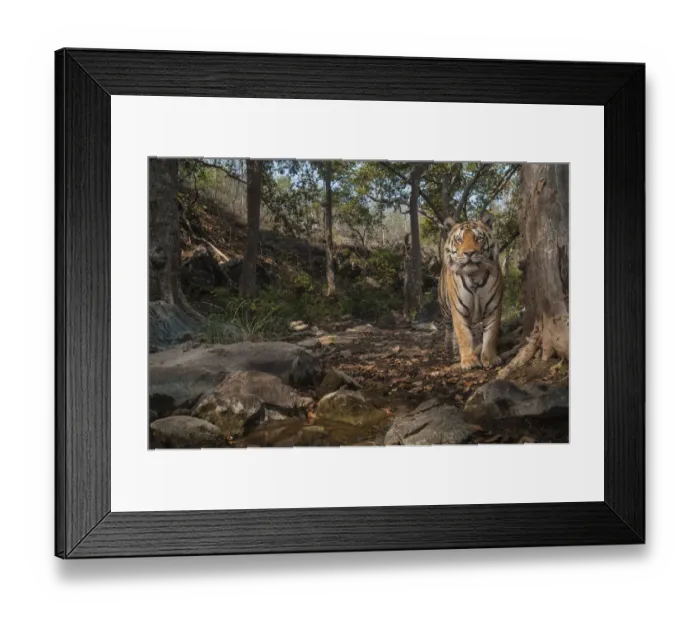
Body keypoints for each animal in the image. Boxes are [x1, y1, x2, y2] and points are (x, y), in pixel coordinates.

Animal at [438, 213, 504, 371]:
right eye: (459, 239)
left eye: (478, 238)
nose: (469, 253)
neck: (474, 276)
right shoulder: (458, 310)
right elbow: (463, 335)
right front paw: (469, 361)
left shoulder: (493, 308)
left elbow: (490, 335)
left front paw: (490, 359)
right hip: (445, 309)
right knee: (449, 328)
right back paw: (450, 348)